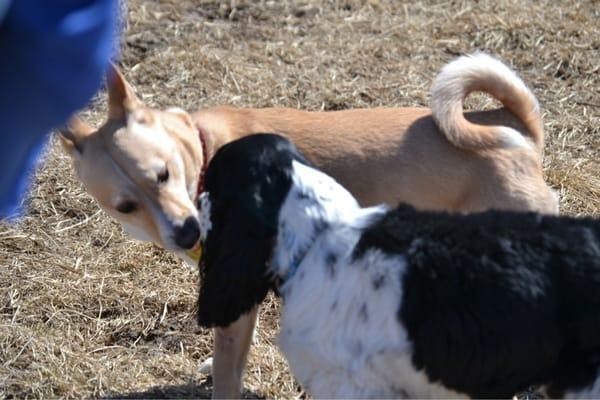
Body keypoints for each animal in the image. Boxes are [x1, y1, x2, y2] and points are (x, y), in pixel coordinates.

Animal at [58, 53, 556, 396]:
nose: (187, 233)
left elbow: (228, 368)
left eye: (162, 174)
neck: (203, 151)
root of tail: (520, 128)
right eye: (125, 206)